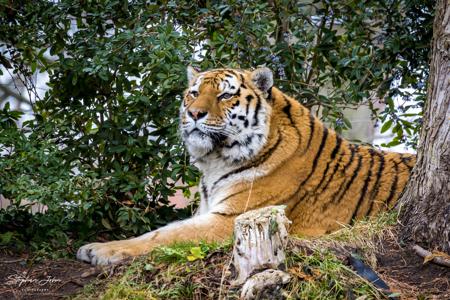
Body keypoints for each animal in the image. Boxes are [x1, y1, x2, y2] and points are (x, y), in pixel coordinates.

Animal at [76, 66, 414, 264]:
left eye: (225, 95)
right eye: (194, 93)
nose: (195, 113)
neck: (214, 161)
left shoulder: (230, 219)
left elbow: (165, 235)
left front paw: (101, 249)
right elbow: (165, 230)